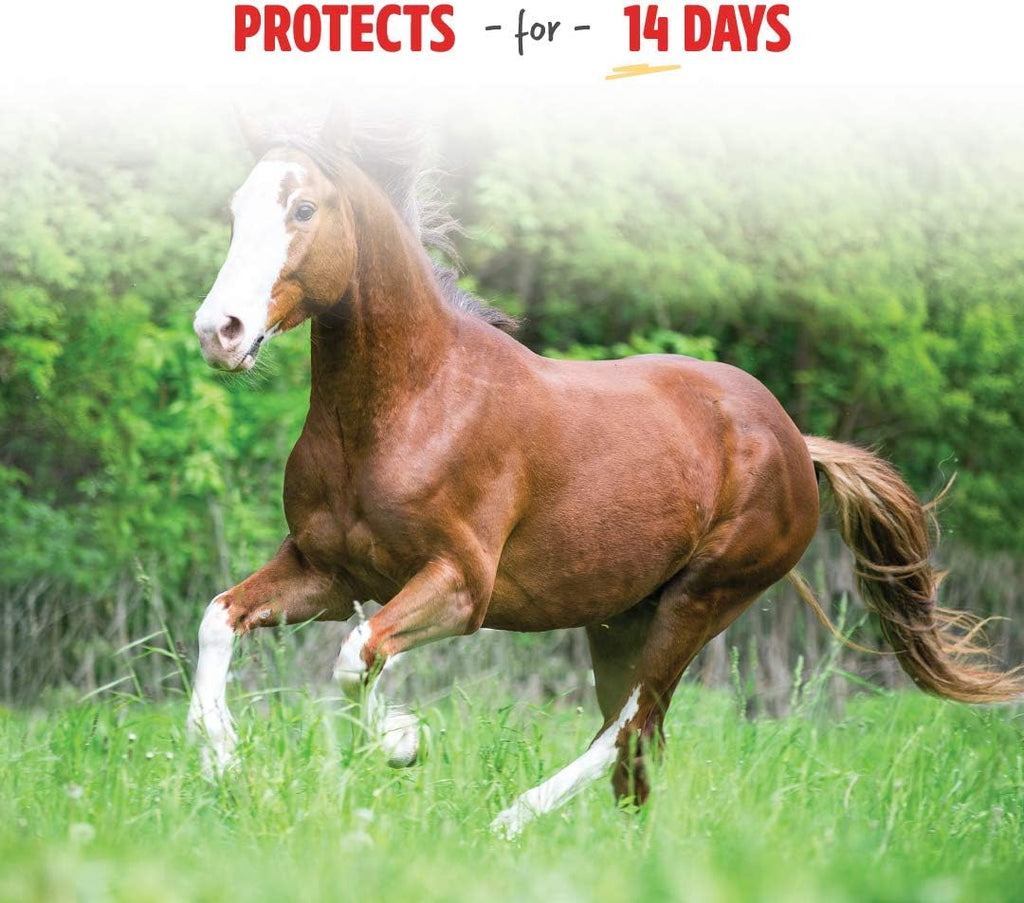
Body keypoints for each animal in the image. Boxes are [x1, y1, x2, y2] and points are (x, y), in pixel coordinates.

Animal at [186, 116, 1022, 838]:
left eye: (303, 207)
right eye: (235, 208)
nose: (219, 331)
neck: (411, 406)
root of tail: (796, 441)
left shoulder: (460, 585)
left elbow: (357, 655)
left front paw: (400, 741)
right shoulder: (327, 571)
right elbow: (222, 618)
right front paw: (225, 763)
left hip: (701, 600)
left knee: (627, 726)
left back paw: (511, 819)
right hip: (620, 618)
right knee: (637, 748)